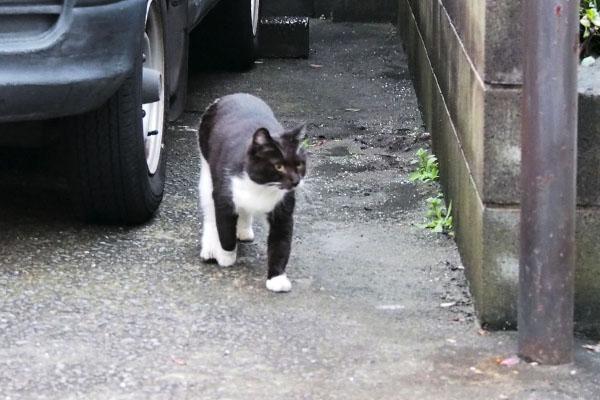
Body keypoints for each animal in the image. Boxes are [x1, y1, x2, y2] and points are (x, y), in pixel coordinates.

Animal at [199, 92, 308, 292]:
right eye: (278, 166)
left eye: (299, 164)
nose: (296, 181)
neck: (262, 187)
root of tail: (233, 95)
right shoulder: (224, 196)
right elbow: (224, 230)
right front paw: (226, 256)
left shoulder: (283, 209)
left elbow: (281, 243)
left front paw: (277, 278)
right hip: (205, 168)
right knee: (209, 210)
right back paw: (210, 247)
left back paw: (243, 230)